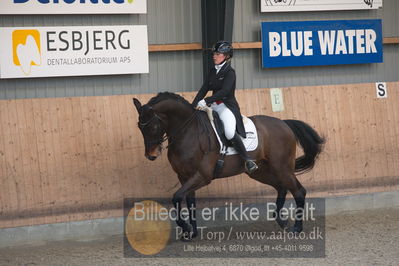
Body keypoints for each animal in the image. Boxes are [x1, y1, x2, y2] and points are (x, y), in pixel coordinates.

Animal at [133, 92, 326, 240]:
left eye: (153, 126)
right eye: (140, 127)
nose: (151, 155)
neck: (188, 131)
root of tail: (284, 123)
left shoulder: (202, 176)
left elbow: (176, 197)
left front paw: (186, 228)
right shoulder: (184, 177)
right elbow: (189, 202)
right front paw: (192, 233)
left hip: (282, 167)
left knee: (298, 191)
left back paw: (296, 228)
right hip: (260, 171)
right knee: (281, 187)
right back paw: (281, 220)